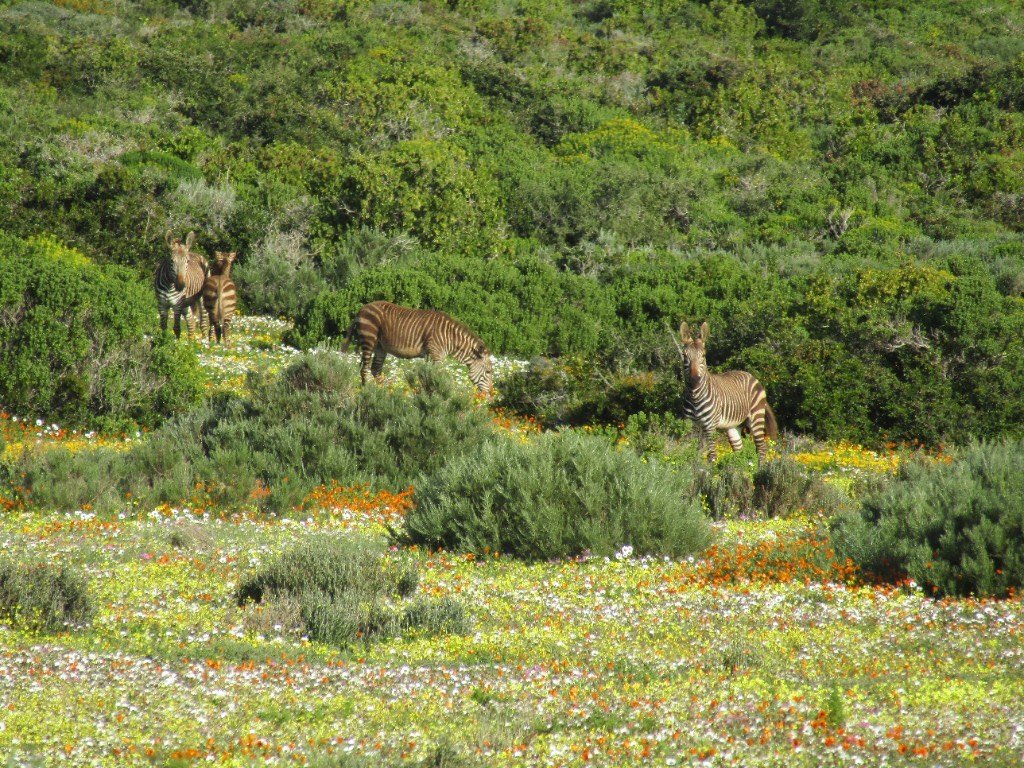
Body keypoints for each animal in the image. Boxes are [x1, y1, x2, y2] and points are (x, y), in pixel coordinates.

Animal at [341, 301, 494, 395]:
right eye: (488, 372)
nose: (490, 395)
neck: (449, 337)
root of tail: (362, 309)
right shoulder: (435, 354)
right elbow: (440, 376)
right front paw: (443, 395)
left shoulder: (429, 356)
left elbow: (429, 376)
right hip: (369, 339)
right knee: (364, 369)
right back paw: (366, 392)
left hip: (380, 347)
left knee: (376, 369)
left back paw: (384, 393)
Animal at [678, 321, 778, 466]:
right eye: (685, 356)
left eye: (703, 356)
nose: (694, 380)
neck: (695, 396)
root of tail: (750, 375)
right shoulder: (694, 426)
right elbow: (695, 454)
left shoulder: (710, 426)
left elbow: (712, 455)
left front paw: (711, 471)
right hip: (733, 426)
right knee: (739, 450)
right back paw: (740, 470)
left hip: (756, 417)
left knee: (761, 448)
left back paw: (761, 469)